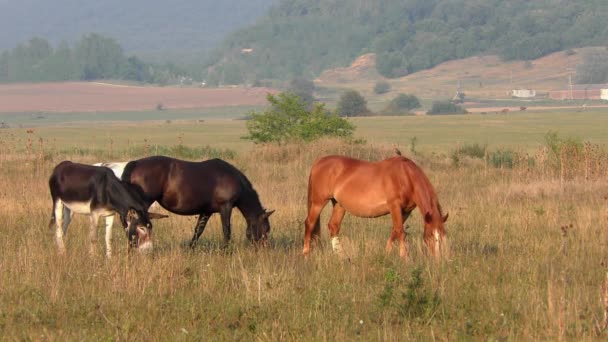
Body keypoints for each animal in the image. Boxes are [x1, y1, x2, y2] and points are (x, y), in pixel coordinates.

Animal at [302, 155, 446, 260]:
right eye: (430, 235)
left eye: (443, 235)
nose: (438, 259)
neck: (406, 176)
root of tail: (319, 162)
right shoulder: (394, 207)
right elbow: (400, 231)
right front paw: (404, 257)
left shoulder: (405, 211)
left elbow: (394, 231)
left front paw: (387, 253)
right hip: (318, 203)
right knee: (309, 223)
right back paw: (306, 254)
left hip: (339, 204)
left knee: (333, 226)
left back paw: (341, 256)